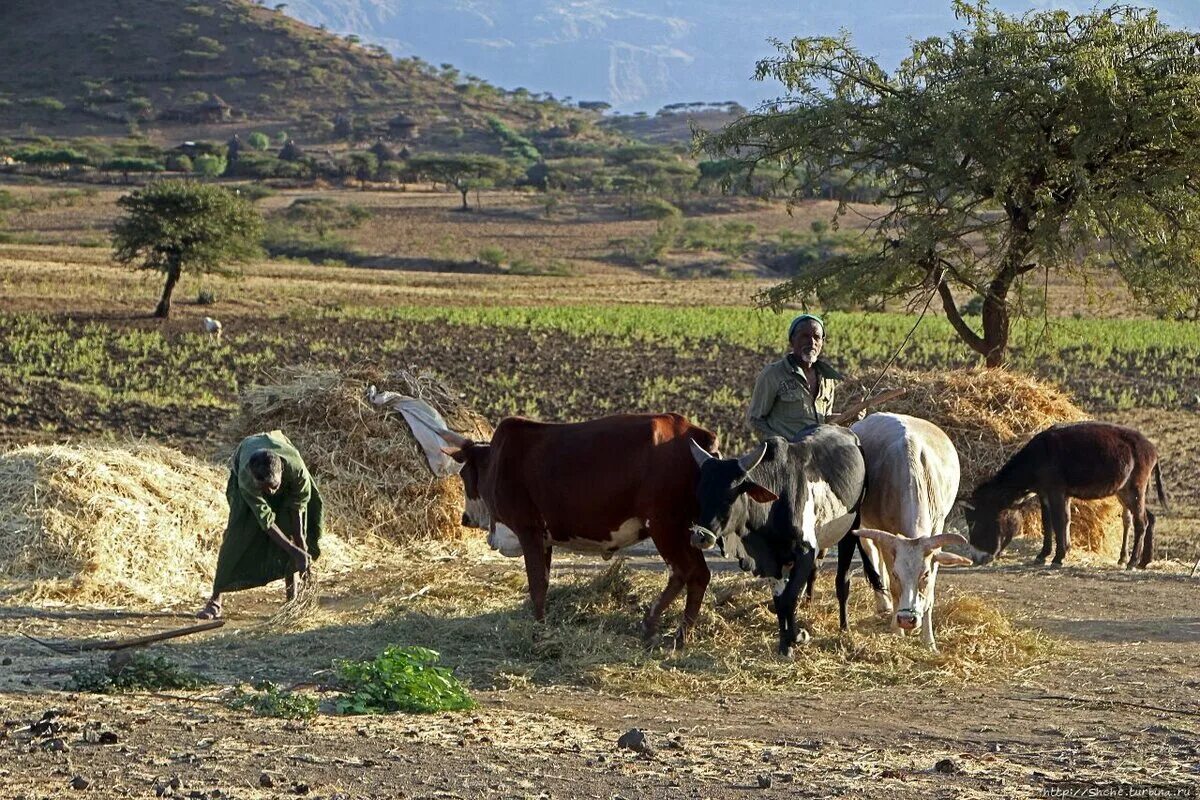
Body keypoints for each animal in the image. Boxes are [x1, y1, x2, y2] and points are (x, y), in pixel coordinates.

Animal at [434, 417, 715, 647]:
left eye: (463, 474)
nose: (465, 518)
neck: (496, 461)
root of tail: (694, 433)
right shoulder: (544, 539)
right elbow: (543, 583)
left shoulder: (528, 530)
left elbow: (537, 585)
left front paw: (539, 629)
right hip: (685, 531)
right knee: (699, 574)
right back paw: (681, 636)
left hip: (665, 527)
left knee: (683, 572)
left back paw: (652, 625)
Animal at [691, 424, 878, 657]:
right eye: (700, 494)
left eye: (728, 497)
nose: (699, 536)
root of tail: (847, 432)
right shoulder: (771, 560)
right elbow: (780, 602)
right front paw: (784, 645)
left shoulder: (805, 553)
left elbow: (790, 598)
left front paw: (798, 636)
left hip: (850, 531)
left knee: (842, 581)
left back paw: (844, 628)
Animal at [849, 412, 969, 652]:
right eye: (897, 574)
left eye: (925, 574)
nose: (907, 619)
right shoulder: (884, 534)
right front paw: (897, 630)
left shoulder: (937, 530)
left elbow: (930, 595)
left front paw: (929, 640)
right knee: (872, 553)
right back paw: (884, 603)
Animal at [969, 422, 1166, 566]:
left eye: (979, 523)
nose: (976, 559)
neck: (1037, 458)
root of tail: (1152, 448)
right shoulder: (1048, 494)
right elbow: (1052, 522)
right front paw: (1044, 555)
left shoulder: (1056, 491)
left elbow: (1059, 521)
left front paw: (1058, 557)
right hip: (1125, 492)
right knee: (1148, 517)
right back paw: (1143, 561)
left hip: (1134, 489)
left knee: (1142, 522)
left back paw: (1133, 562)